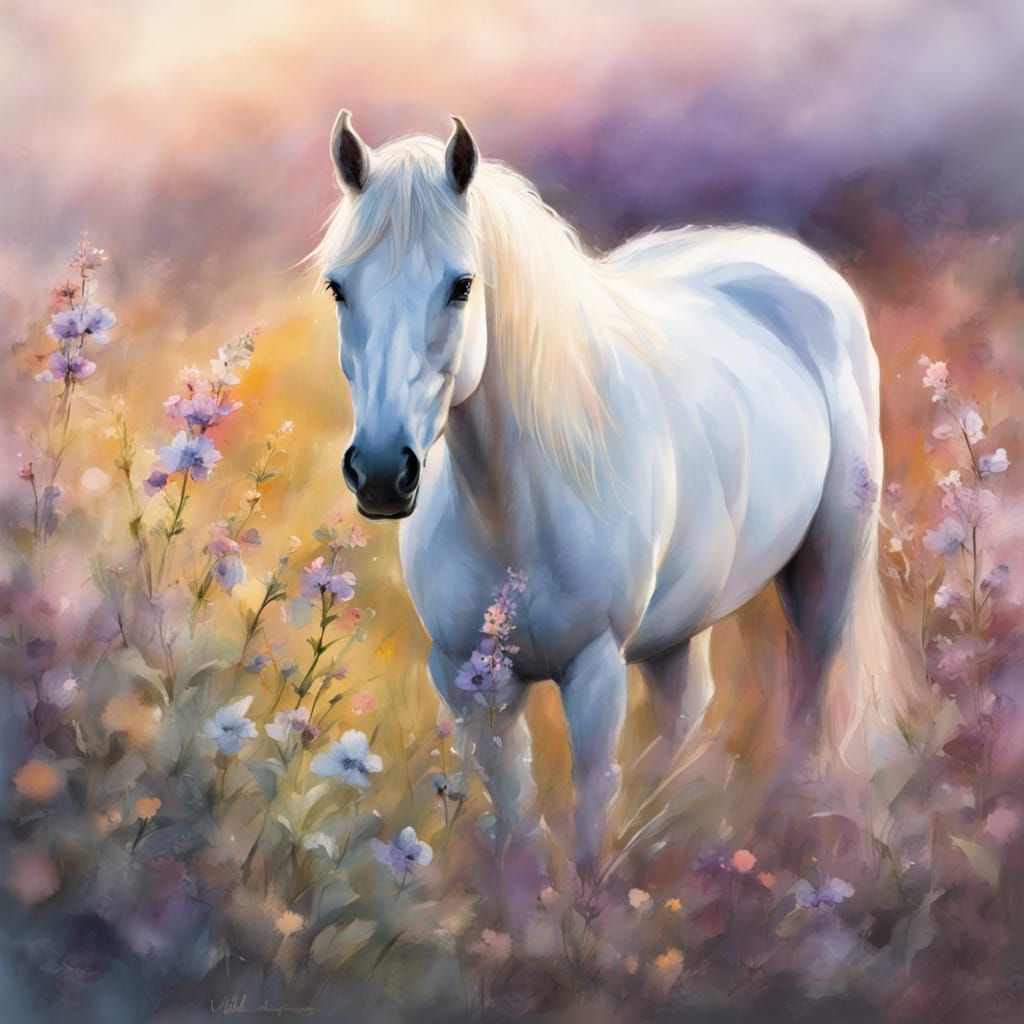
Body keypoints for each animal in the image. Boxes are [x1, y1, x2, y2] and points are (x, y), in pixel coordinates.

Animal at [314, 110, 912, 876]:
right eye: (338, 287)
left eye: (461, 284)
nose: (384, 472)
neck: (513, 513)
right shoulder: (465, 678)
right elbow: (513, 814)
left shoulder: (594, 672)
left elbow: (591, 805)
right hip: (677, 624)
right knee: (685, 711)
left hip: (827, 568)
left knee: (809, 691)